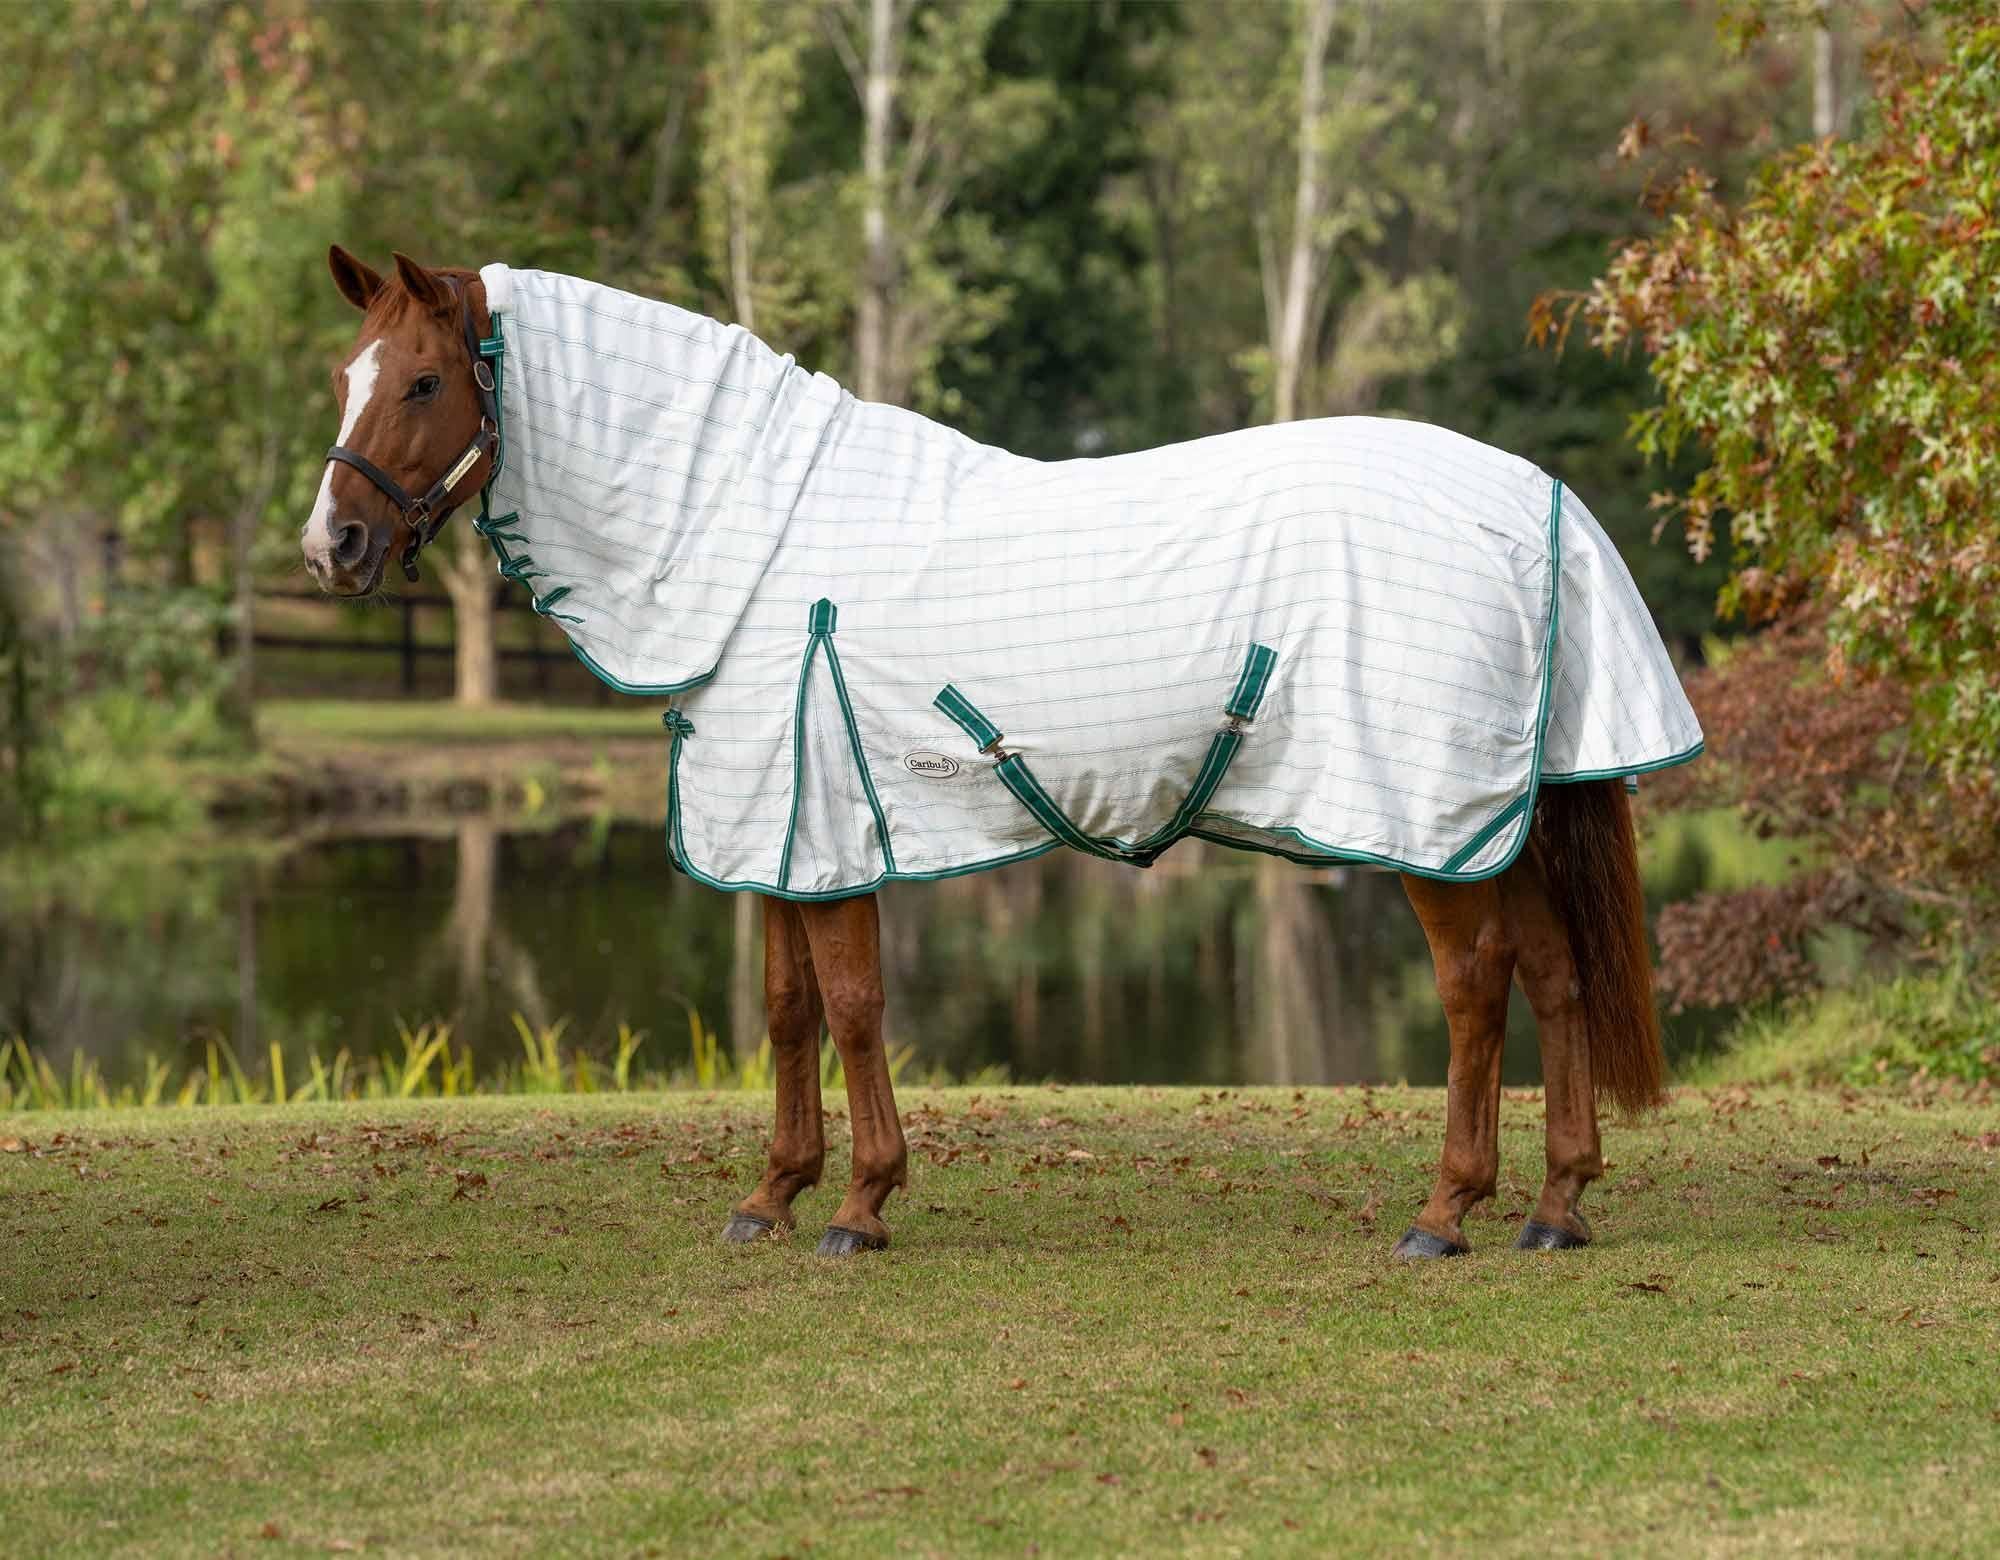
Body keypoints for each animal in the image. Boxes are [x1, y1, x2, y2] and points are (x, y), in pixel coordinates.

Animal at [301, 247, 1701, 1260]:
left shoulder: (826, 822)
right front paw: (772, 1195)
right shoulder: (772, 817)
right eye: (342, 377)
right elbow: (787, 1007)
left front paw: (860, 1208)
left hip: (1420, 817)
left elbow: (853, 1004)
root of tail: (1532, 499)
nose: (332, 550)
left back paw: (1444, 1213)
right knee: (1556, 975)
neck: (746, 538)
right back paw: (1555, 1208)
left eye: (422, 382)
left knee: (1474, 988)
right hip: (1494, 815)